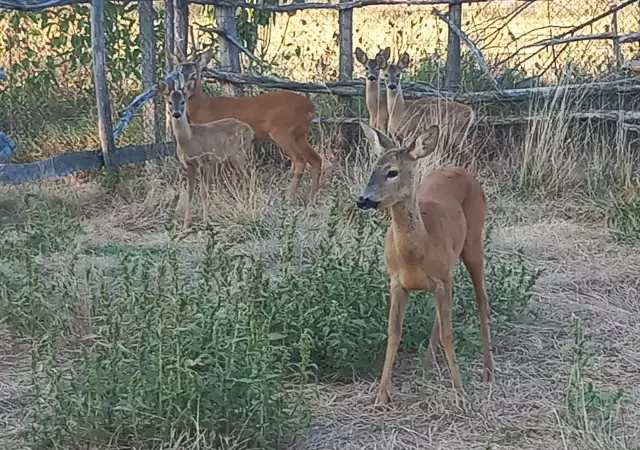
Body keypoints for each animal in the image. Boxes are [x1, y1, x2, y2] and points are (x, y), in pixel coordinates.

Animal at [159, 74, 254, 229]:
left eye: (183, 102)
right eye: (170, 102)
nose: (177, 114)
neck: (191, 140)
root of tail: (250, 130)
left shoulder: (204, 161)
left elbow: (204, 192)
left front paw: (205, 221)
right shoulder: (189, 165)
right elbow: (190, 192)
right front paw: (186, 224)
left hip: (238, 153)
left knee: (248, 175)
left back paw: (247, 203)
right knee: (246, 175)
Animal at [168, 48, 328, 202]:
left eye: (194, 74)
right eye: (179, 74)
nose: (183, 90)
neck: (205, 107)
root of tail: (310, 107)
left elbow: (216, 174)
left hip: (283, 132)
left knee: (300, 160)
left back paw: (289, 197)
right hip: (299, 134)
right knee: (316, 159)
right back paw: (311, 199)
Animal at [358, 121, 492, 406]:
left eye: (392, 172)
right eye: (373, 167)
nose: (362, 199)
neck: (416, 252)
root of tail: (461, 169)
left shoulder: (440, 279)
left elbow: (449, 333)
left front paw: (460, 392)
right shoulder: (397, 282)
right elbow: (394, 333)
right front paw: (381, 396)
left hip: (474, 242)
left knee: (481, 301)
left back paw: (488, 371)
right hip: (451, 267)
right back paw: (428, 367)